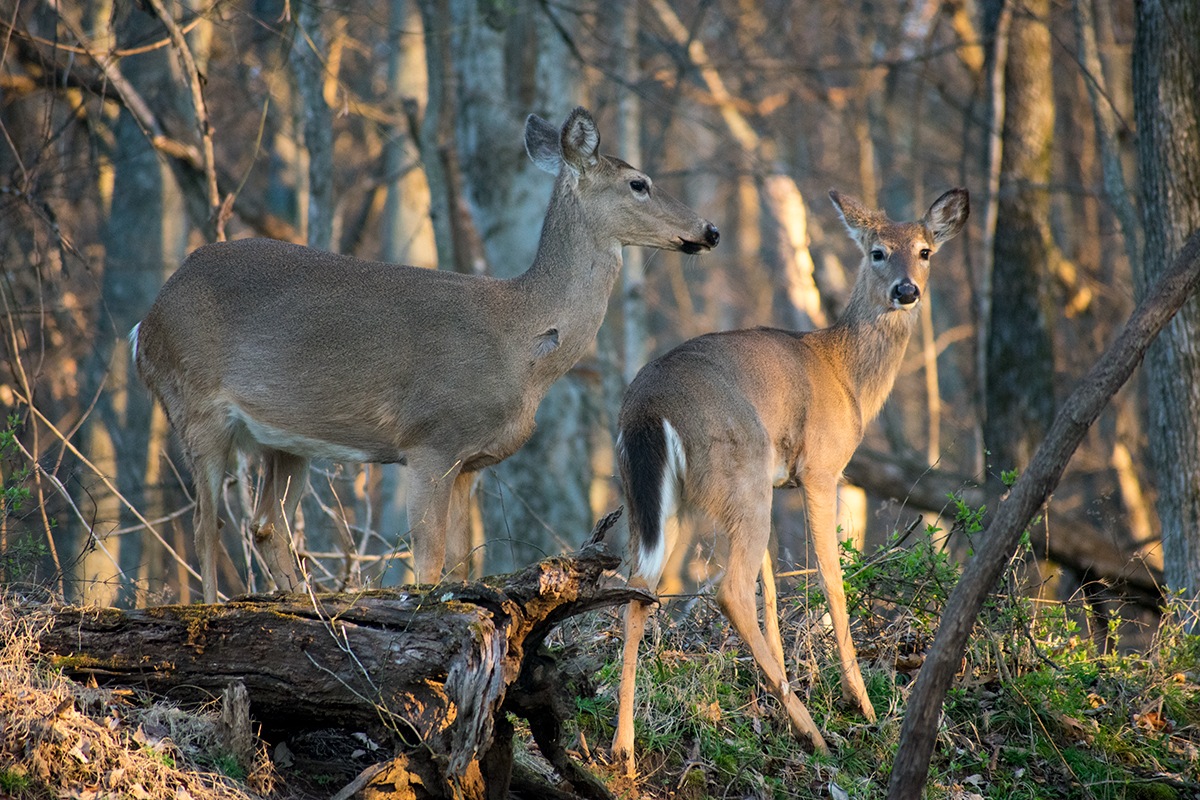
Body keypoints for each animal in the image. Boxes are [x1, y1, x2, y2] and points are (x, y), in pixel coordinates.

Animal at [132, 107, 719, 604]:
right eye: (639, 183)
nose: (709, 229)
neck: (524, 339)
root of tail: (145, 324)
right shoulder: (429, 439)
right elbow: (429, 563)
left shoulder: (470, 463)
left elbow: (459, 565)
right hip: (194, 403)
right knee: (207, 525)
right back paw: (210, 610)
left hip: (284, 439)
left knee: (265, 524)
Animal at [611, 188, 968, 771]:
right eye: (876, 252)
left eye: (925, 251)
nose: (906, 291)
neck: (847, 375)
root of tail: (645, 408)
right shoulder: (821, 469)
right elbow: (829, 579)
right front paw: (859, 701)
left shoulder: (780, 481)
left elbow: (773, 589)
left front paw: (777, 689)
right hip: (739, 472)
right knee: (728, 589)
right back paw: (814, 734)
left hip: (668, 499)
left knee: (639, 586)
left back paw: (624, 747)